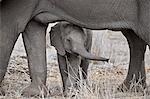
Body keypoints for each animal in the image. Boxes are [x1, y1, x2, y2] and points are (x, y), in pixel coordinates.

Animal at [0, 0, 149, 96]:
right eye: (68, 40)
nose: (107, 59)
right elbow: (32, 28)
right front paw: (34, 94)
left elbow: (8, 27)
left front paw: (70, 92)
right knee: (134, 38)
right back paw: (130, 89)